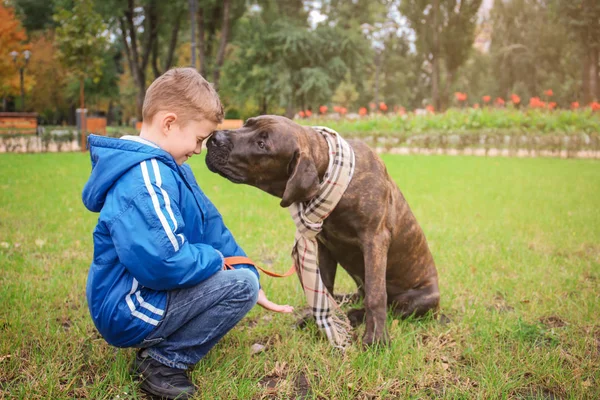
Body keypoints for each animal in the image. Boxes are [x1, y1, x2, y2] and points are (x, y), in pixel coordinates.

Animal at [204, 114, 438, 346]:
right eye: (246, 123)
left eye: (262, 144)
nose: (214, 137)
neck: (329, 170)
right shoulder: (325, 245)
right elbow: (324, 286)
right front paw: (316, 318)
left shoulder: (375, 241)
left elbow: (376, 294)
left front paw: (377, 338)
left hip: (421, 299)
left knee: (390, 305)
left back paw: (357, 314)